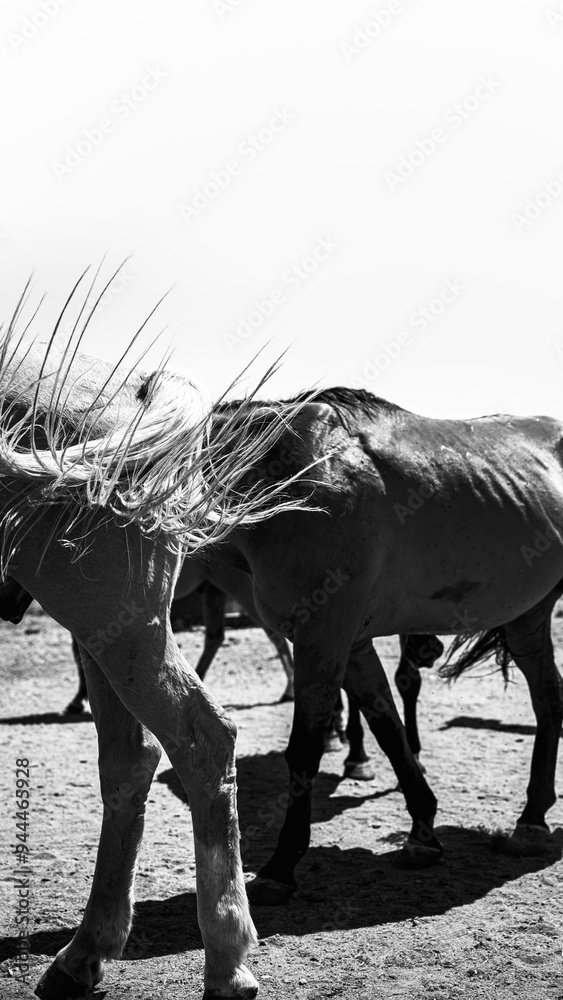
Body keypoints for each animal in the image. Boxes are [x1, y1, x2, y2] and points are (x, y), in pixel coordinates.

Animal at [0, 283, 322, 1000]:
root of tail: (135, 387)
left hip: (113, 620)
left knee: (201, 740)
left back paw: (225, 959)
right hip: (108, 629)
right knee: (131, 760)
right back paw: (84, 953)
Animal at [202, 387, 563, 906]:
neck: (286, 477)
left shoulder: (322, 639)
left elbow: (304, 751)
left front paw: (280, 866)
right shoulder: (349, 646)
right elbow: (389, 731)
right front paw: (423, 832)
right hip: (528, 617)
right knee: (549, 701)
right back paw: (532, 821)